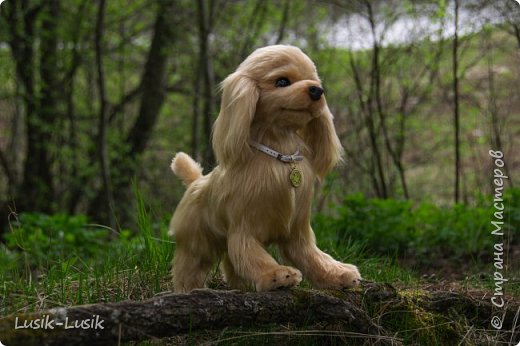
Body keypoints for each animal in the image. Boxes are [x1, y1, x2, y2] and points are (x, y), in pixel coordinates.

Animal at [170, 44, 362, 294]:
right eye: (282, 81)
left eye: (313, 80)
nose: (317, 90)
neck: (281, 155)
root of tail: (196, 182)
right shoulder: (245, 229)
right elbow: (252, 256)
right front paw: (277, 275)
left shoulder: (298, 232)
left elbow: (313, 257)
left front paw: (337, 274)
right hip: (197, 244)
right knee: (189, 267)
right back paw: (189, 289)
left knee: (231, 264)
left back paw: (241, 286)